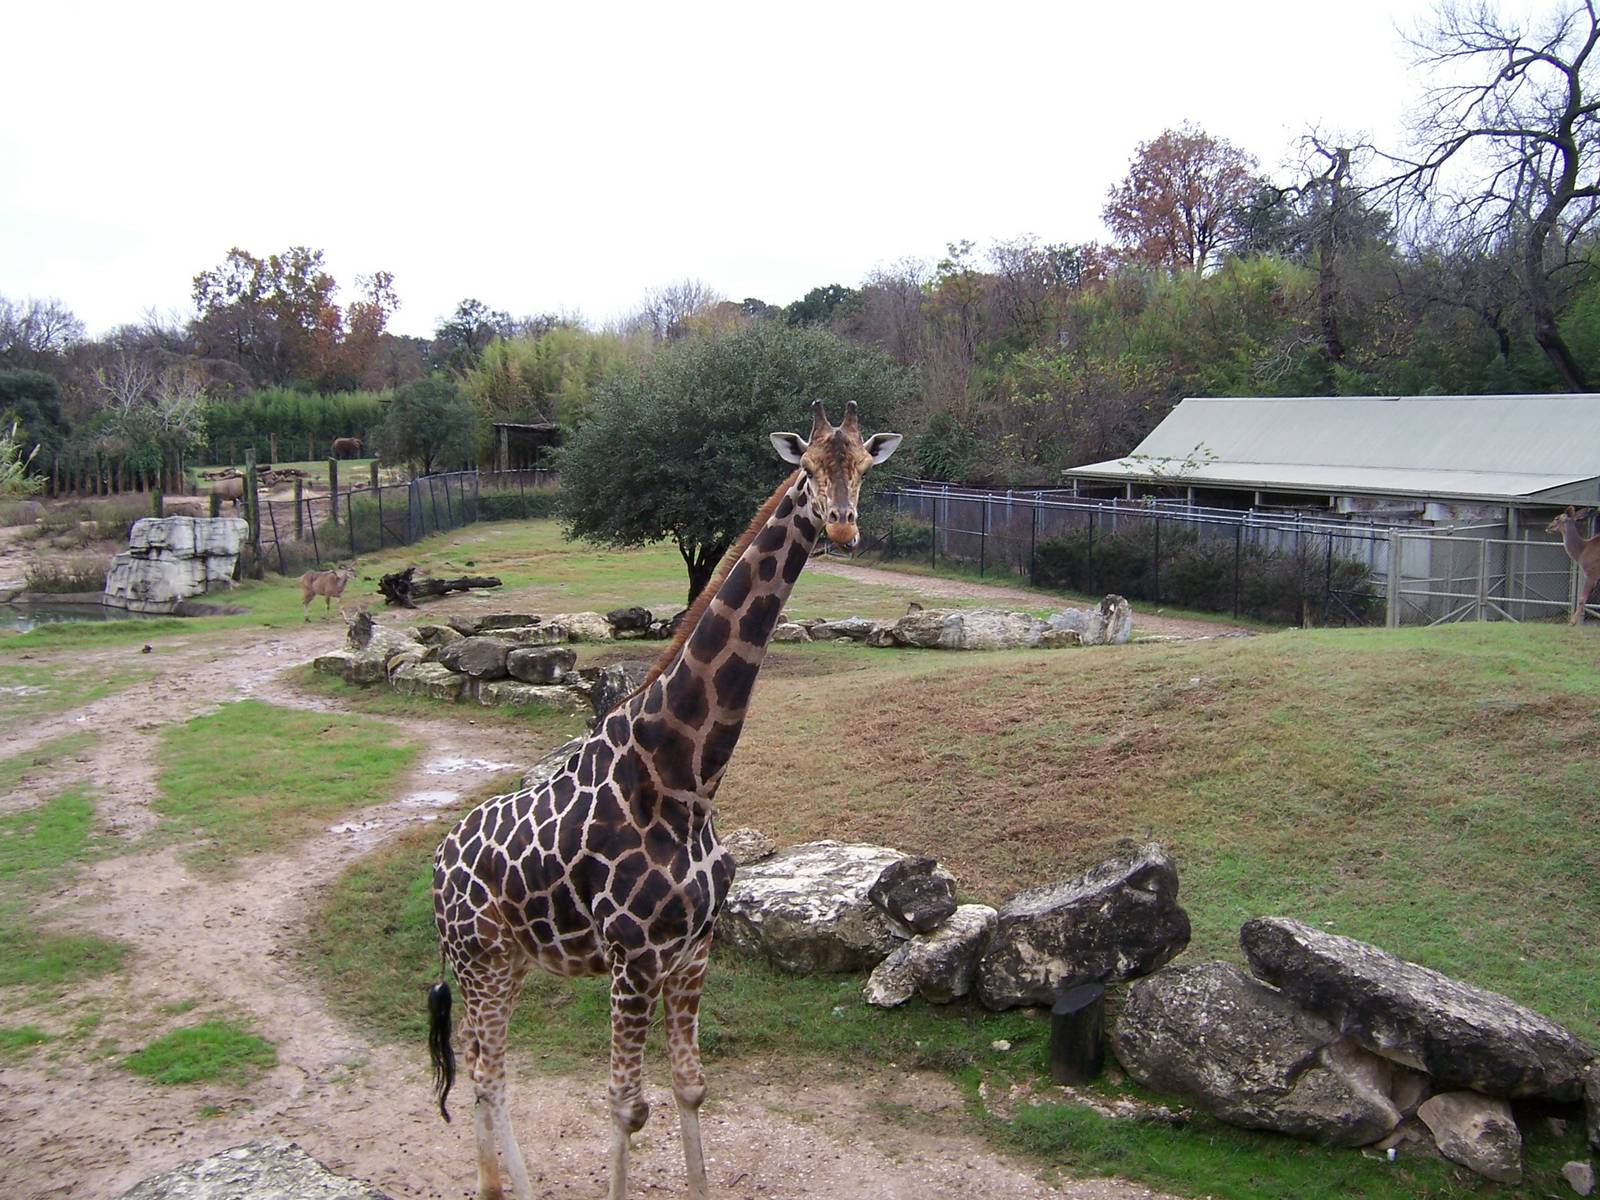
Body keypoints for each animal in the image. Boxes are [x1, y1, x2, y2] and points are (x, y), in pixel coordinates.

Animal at [428, 400, 902, 1200]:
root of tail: (436, 864)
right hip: (478, 958)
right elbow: (626, 1104)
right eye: (806, 470)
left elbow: (690, 1086)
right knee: (486, 1073)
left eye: (865, 468)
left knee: (483, 1064)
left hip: (510, 960)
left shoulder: (692, 949)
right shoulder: (633, 957)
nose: (842, 528)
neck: (686, 780)